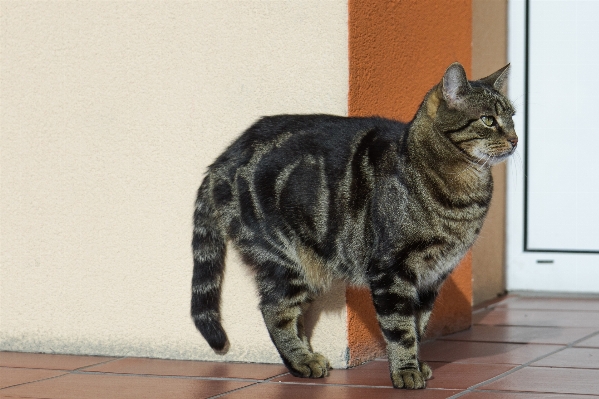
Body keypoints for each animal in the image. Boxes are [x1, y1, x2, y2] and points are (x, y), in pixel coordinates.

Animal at [191, 62, 516, 390]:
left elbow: (419, 325)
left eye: (512, 117)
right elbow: (401, 329)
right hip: (283, 259)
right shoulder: (391, 270)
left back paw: (308, 356)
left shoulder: (431, 279)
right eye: (488, 120)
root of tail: (222, 159)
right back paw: (302, 361)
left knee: (294, 314)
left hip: (309, 265)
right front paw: (405, 371)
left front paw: (417, 363)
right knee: (275, 310)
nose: (516, 139)